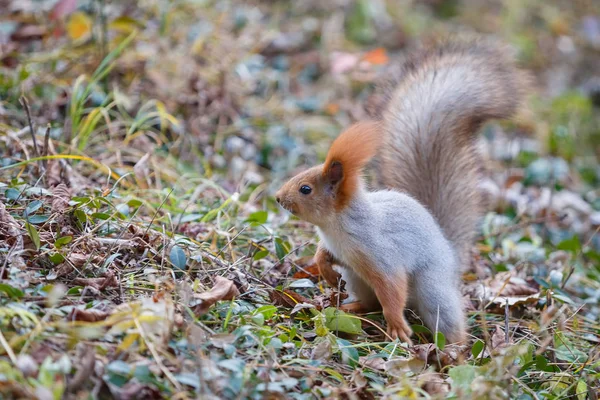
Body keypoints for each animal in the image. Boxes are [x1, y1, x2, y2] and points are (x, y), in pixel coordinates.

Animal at [274, 38, 528, 344]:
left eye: (305, 189)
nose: (278, 198)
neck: (335, 227)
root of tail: (450, 254)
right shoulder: (339, 250)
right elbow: (323, 255)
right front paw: (324, 269)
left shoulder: (382, 255)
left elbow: (393, 290)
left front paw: (397, 327)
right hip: (356, 277)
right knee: (370, 301)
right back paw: (353, 307)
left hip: (432, 289)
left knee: (444, 319)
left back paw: (453, 350)